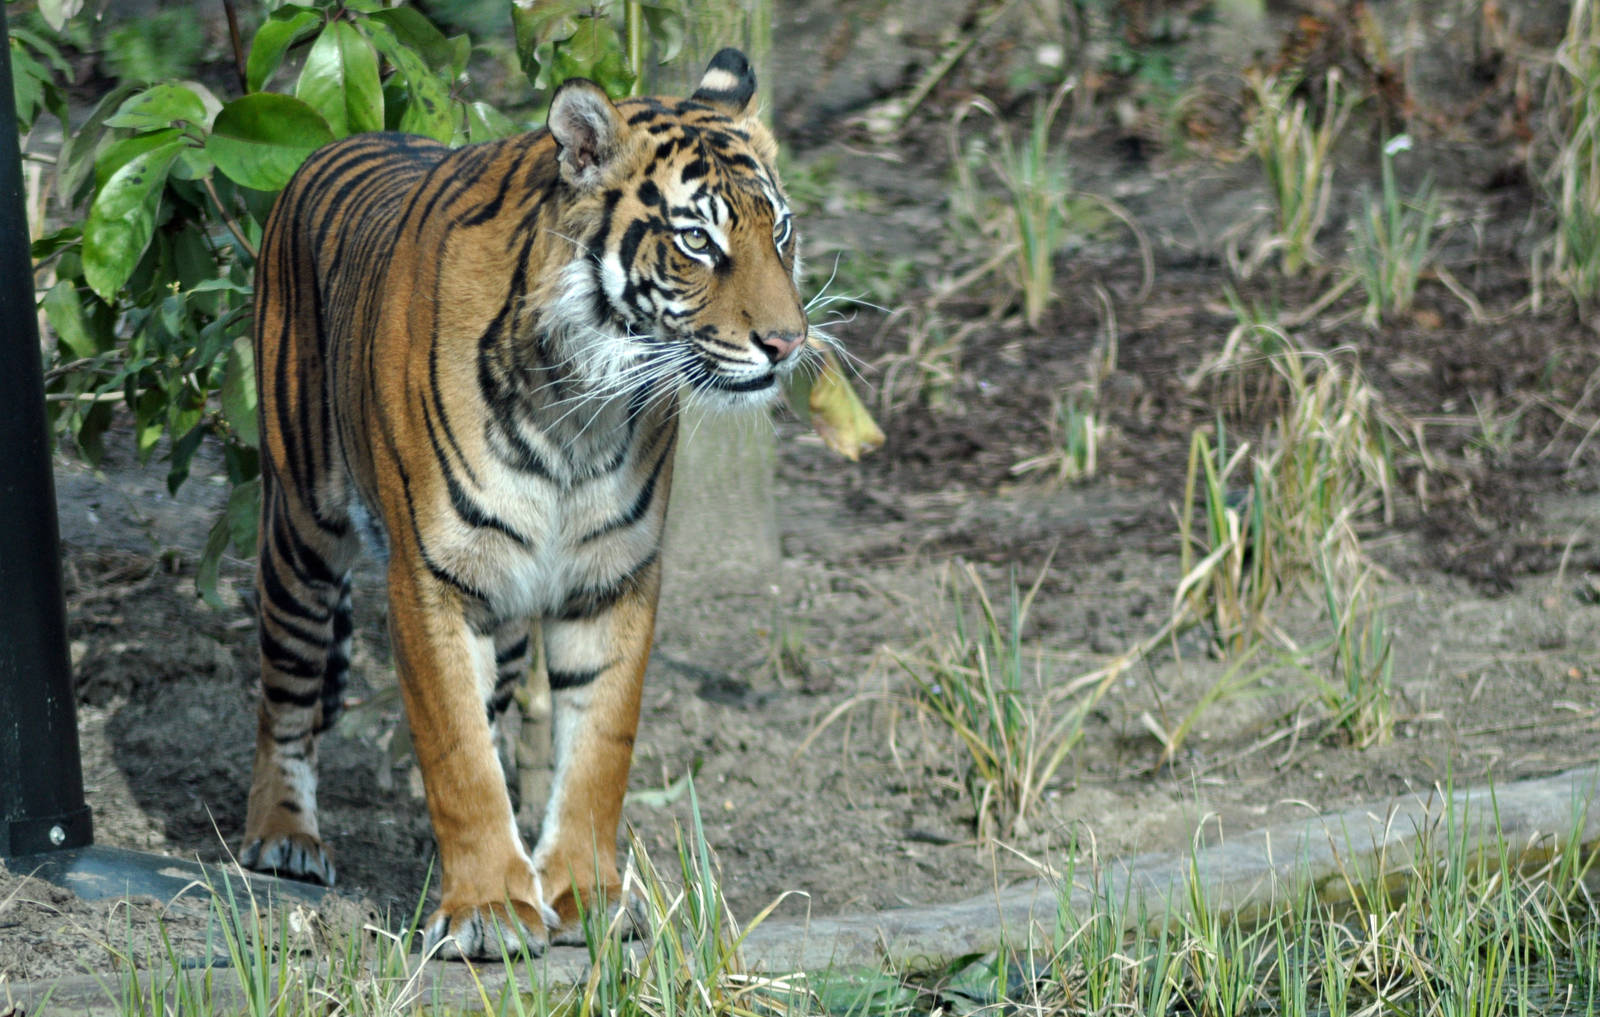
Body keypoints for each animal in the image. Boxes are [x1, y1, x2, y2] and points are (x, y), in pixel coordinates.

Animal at [240, 48, 811, 960]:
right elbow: (456, 751)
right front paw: (489, 910)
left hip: (503, 614)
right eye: (697, 240)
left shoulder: (613, 577)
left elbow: (598, 747)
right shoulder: (430, 578)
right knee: (285, 690)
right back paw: (284, 837)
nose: (788, 343)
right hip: (301, 532)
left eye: (779, 231)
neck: (581, 402)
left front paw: (584, 893)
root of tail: (342, 139)